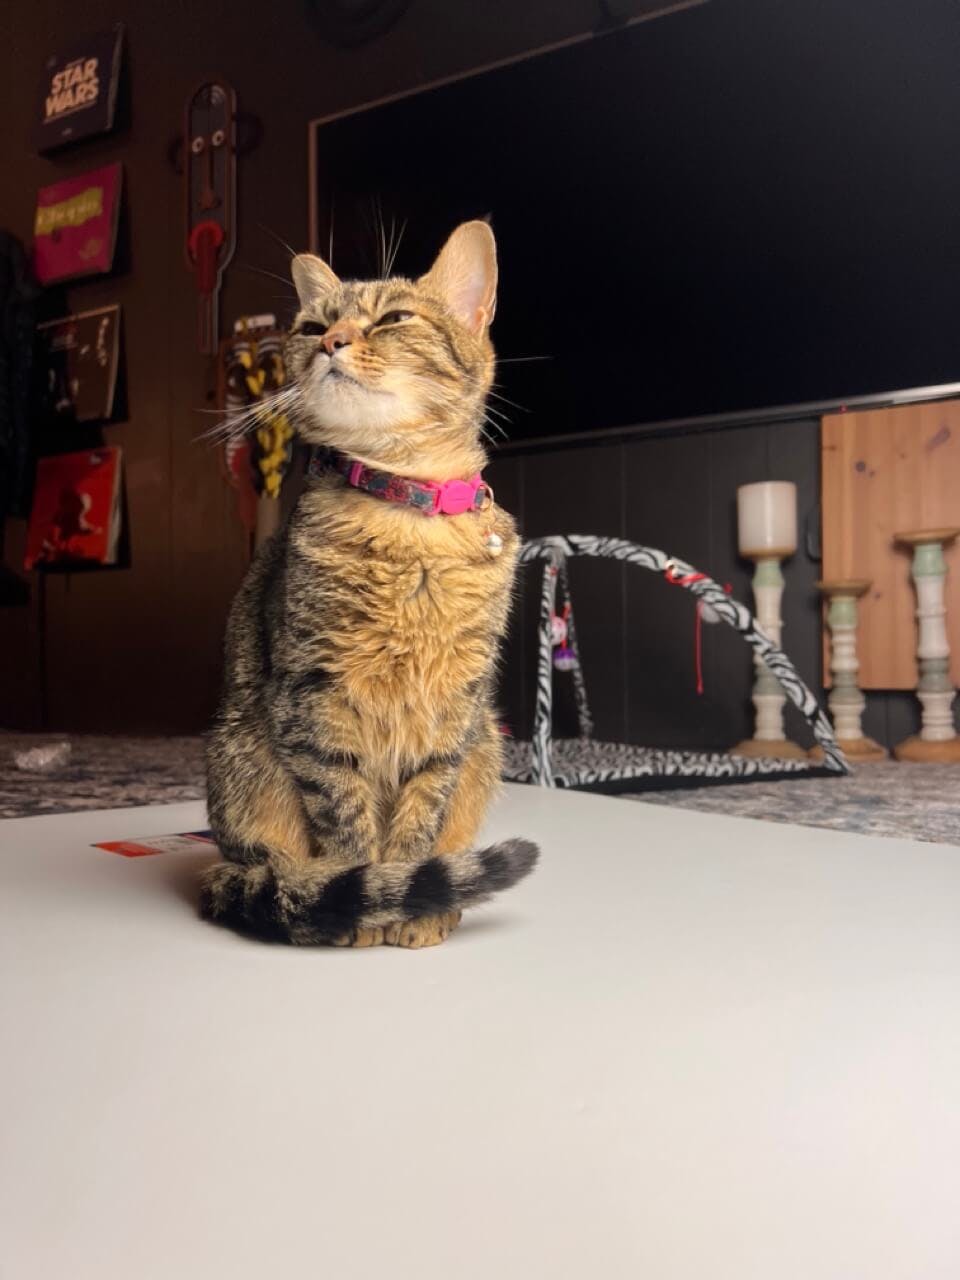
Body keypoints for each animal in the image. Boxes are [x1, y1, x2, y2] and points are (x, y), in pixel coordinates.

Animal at [200, 220, 542, 947]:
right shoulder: (315, 693)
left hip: (485, 744)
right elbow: (345, 816)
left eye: (393, 318)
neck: (408, 517)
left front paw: (413, 899)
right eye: (309, 326)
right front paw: (364, 896)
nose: (331, 340)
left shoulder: (453, 710)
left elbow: (421, 817)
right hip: (240, 765)